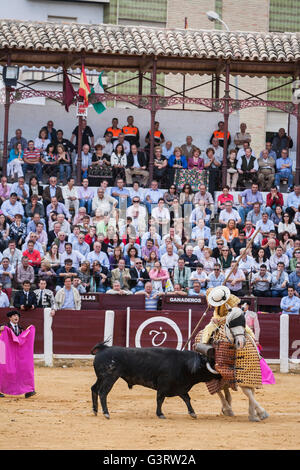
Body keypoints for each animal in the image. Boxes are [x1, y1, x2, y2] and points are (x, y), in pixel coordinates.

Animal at [90, 342, 219, 418]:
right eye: (210, 364)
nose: (220, 375)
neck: (184, 365)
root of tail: (104, 349)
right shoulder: (164, 386)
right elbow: (160, 399)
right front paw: (160, 414)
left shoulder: (179, 387)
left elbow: (186, 398)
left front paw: (192, 413)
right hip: (109, 378)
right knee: (103, 393)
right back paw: (106, 413)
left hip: (101, 378)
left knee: (94, 389)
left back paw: (95, 411)